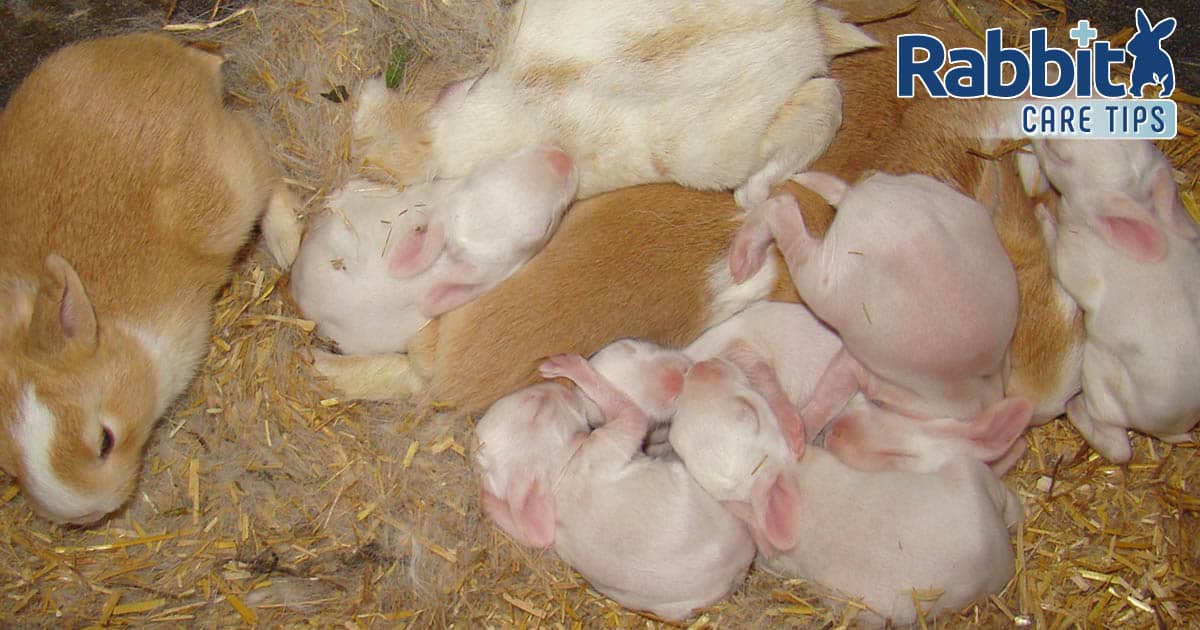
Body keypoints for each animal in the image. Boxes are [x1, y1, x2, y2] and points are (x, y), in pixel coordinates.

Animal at [0, 34, 300, 525]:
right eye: (9, 468)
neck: (117, 338)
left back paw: (287, 242)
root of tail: (175, 60)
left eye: (105, 440)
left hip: (232, 187)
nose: (88, 515)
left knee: (261, 163)